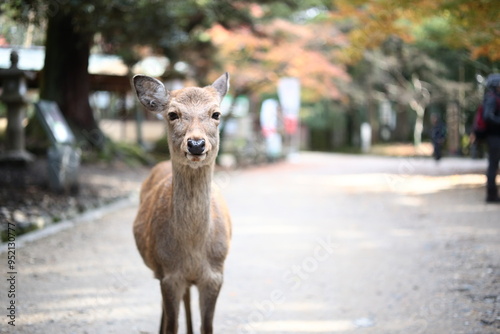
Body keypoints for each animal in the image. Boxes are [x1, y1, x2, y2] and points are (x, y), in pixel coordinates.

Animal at [133, 73, 234, 334]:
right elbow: (171, 325)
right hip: (159, 271)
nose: (196, 144)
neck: (193, 251)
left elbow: (207, 326)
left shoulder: (215, 276)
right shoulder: (169, 275)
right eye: (172, 114)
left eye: (216, 114)